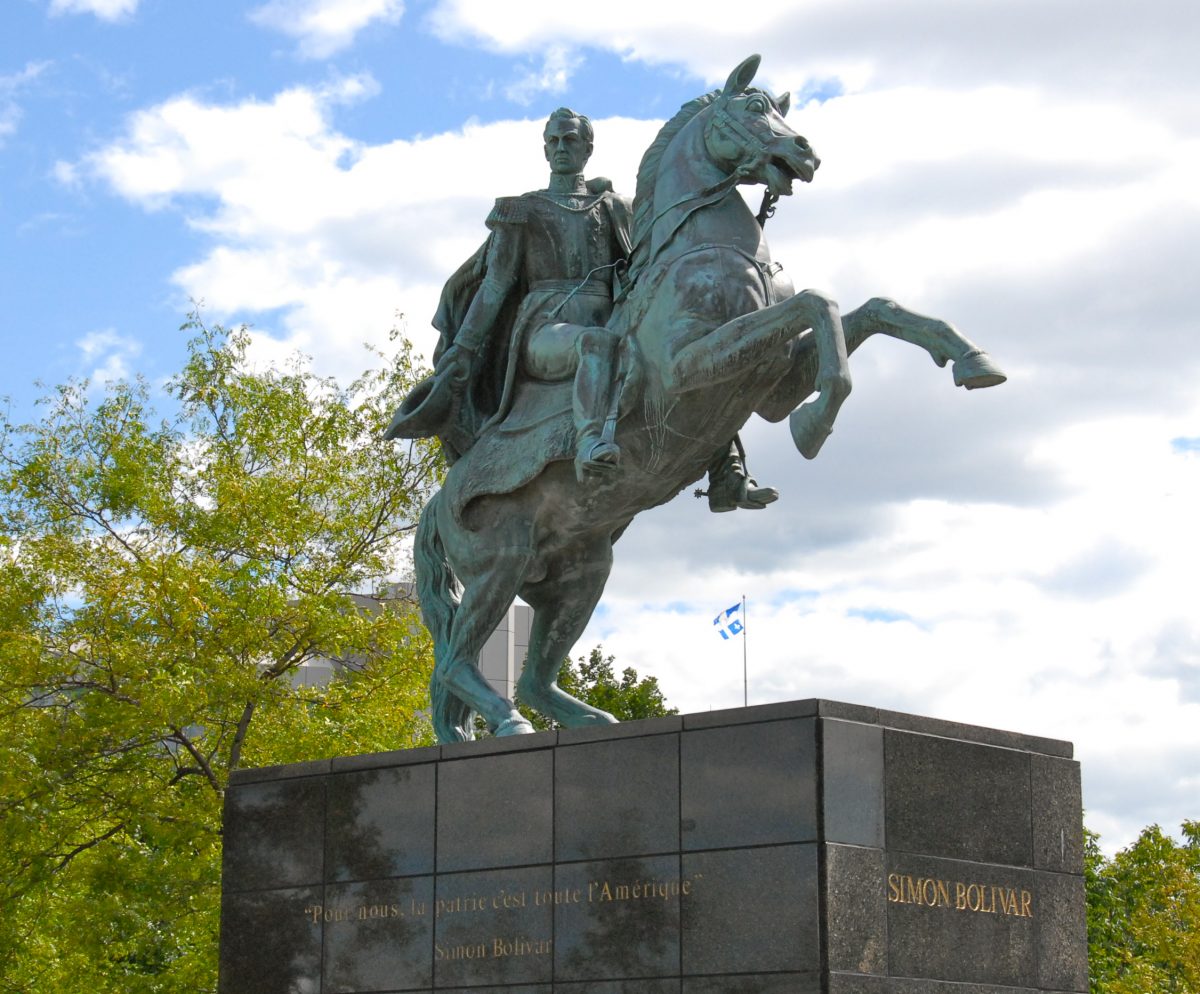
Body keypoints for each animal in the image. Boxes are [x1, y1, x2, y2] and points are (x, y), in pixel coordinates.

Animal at [412, 52, 1003, 739]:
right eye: (753, 109)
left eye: (782, 112)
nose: (806, 152)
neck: (704, 245)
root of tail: (438, 500)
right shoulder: (690, 366)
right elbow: (817, 303)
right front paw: (815, 424)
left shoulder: (771, 378)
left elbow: (871, 308)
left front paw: (970, 357)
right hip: (498, 567)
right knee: (454, 661)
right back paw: (508, 721)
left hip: (582, 571)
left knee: (531, 673)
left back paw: (588, 718)